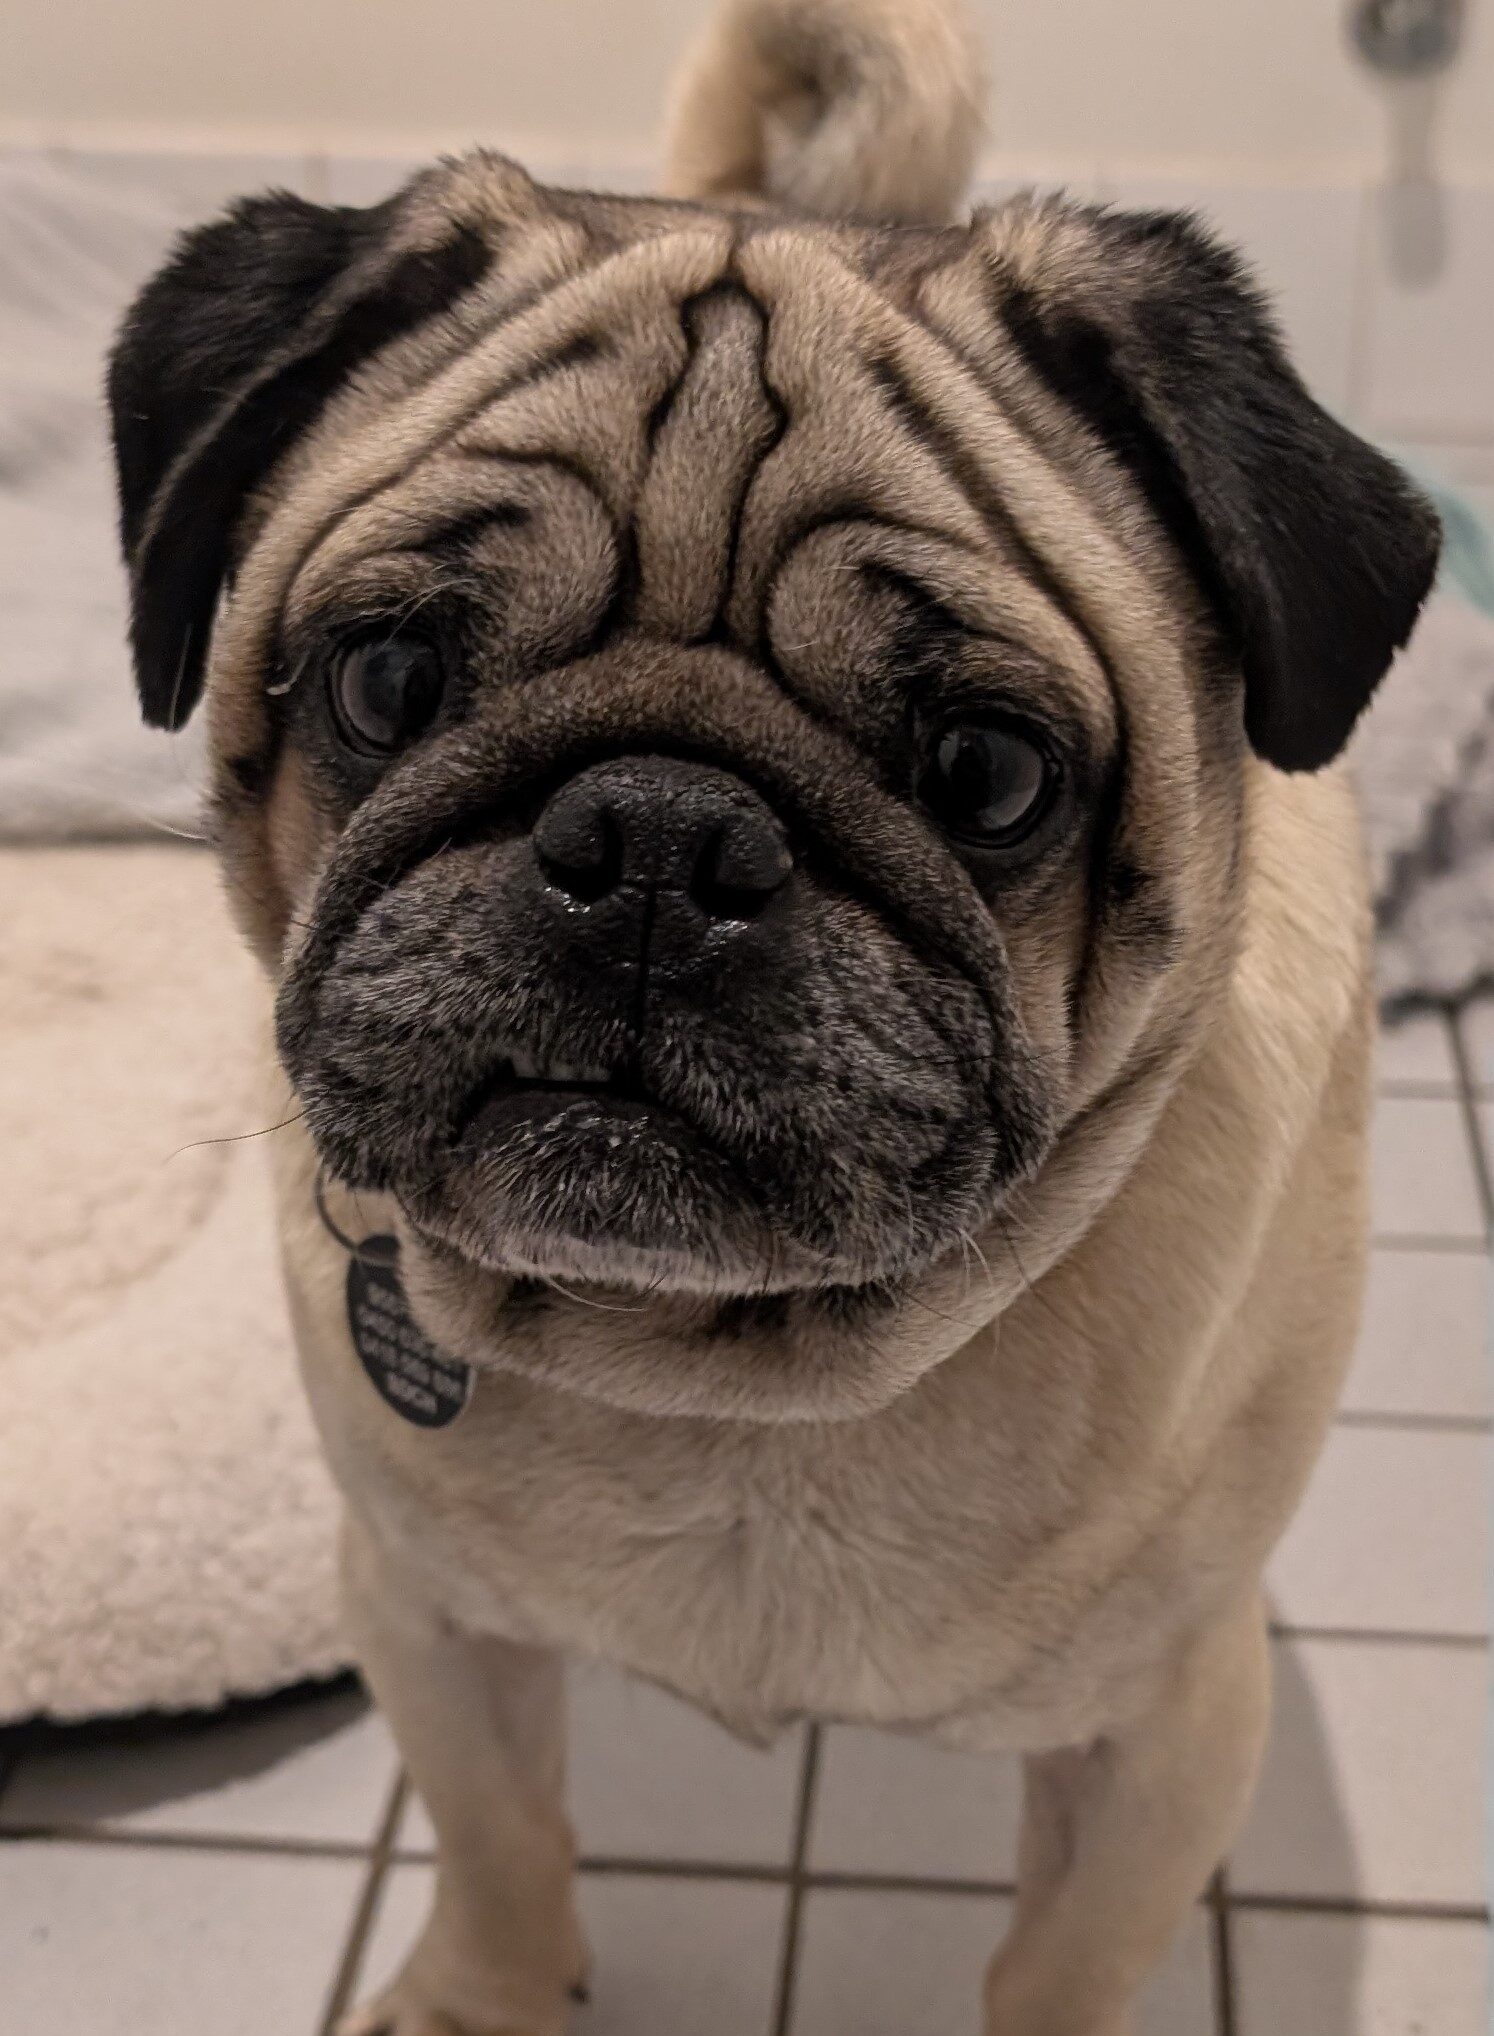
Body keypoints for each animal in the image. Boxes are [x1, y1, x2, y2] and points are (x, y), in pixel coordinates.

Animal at [108, 1, 1440, 2028]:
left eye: (987, 774)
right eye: (386, 678)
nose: (657, 838)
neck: (728, 1384)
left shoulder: (1166, 1735)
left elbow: (1060, 1967)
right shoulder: (422, 1616)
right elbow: (496, 1838)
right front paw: (480, 1994)